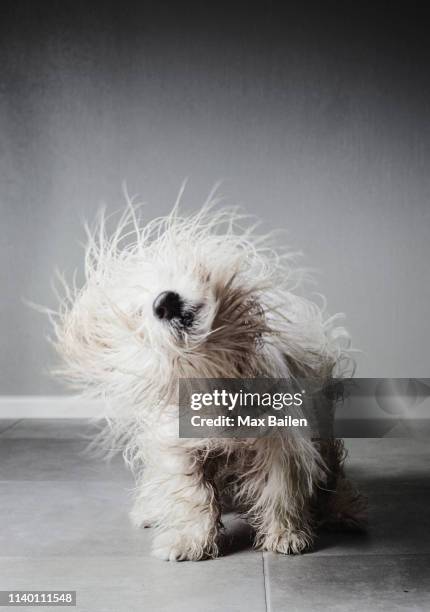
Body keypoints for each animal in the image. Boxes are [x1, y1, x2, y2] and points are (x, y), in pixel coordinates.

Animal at [50, 190, 366, 560]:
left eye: (177, 271)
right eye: (139, 312)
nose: (164, 301)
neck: (213, 375)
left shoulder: (281, 441)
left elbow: (280, 492)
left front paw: (286, 534)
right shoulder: (180, 449)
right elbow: (192, 495)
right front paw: (190, 540)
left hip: (323, 429)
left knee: (333, 472)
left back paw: (342, 510)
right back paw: (151, 511)